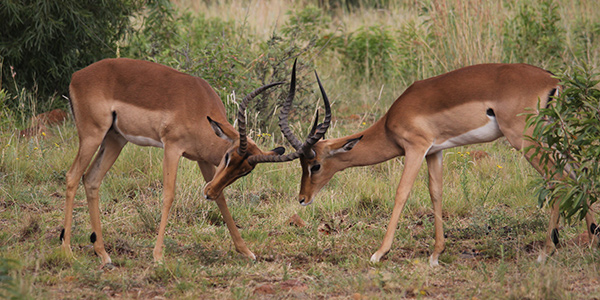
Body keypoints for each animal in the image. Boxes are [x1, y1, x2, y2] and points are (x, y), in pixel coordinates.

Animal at [61, 57, 286, 268]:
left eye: (245, 171)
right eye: (228, 156)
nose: (209, 193)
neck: (199, 107)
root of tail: (77, 76)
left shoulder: (203, 160)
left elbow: (222, 199)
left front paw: (246, 251)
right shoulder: (172, 148)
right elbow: (168, 195)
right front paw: (158, 256)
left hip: (115, 139)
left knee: (91, 179)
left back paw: (103, 254)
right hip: (92, 135)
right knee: (72, 176)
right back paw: (68, 252)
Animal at [205, 62, 596, 264]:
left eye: (313, 165)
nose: (302, 199)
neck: (393, 120)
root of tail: (553, 81)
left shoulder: (416, 148)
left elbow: (402, 193)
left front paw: (379, 253)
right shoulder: (435, 151)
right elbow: (436, 194)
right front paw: (436, 255)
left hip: (525, 140)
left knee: (558, 179)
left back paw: (547, 250)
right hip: (548, 138)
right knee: (575, 170)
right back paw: (590, 238)